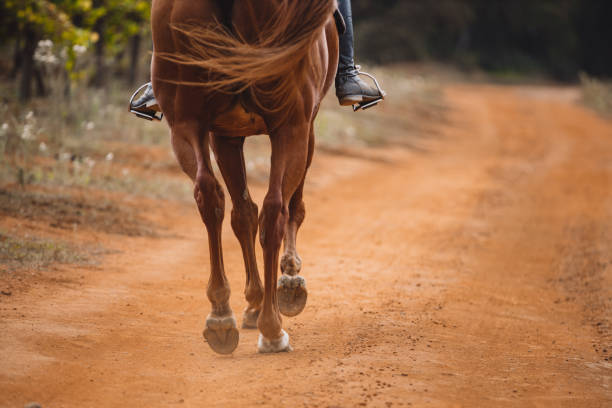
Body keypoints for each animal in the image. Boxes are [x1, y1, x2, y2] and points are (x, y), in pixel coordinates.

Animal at [150, 0, 338, 352]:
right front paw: (289, 280)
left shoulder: (224, 134)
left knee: (209, 196)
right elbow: (287, 207)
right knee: (276, 209)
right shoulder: (304, 125)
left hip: (185, 124)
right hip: (291, 127)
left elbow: (242, 215)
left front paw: (254, 301)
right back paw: (272, 329)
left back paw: (221, 317)